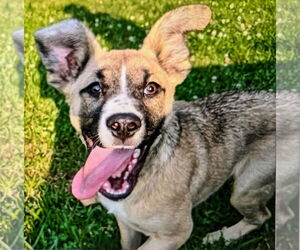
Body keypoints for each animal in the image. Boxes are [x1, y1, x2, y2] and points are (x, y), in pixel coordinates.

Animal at [34, 4, 278, 249]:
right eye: (95, 88)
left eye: (151, 88)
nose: (124, 125)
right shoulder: (126, 225)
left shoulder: (175, 234)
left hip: (246, 187)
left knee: (261, 216)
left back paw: (223, 236)